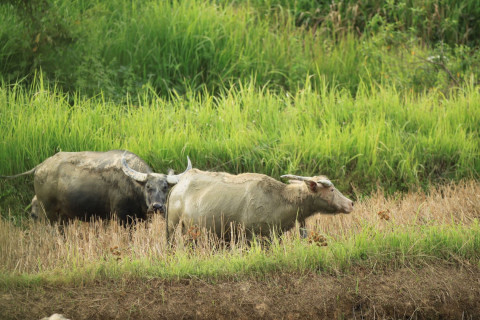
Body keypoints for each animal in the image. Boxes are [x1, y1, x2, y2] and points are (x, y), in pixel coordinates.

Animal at [0, 150, 191, 222]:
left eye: (165, 187)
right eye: (148, 187)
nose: (157, 206)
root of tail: (40, 167)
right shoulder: (121, 218)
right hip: (49, 213)